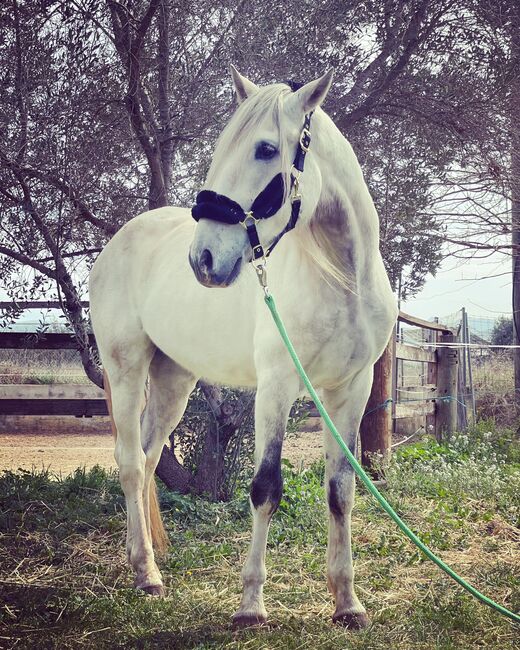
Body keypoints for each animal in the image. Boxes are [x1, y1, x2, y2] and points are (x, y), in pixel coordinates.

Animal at [90, 67, 398, 628]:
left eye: (265, 149)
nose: (204, 259)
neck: (341, 279)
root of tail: (120, 240)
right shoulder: (276, 387)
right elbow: (265, 488)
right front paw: (251, 605)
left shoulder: (350, 390)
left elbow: (341, 491)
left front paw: (347, 602)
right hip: (125, 369)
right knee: (129, 462)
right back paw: (145, 574)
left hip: (174, 379)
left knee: (148, 459)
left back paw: (146, 563)